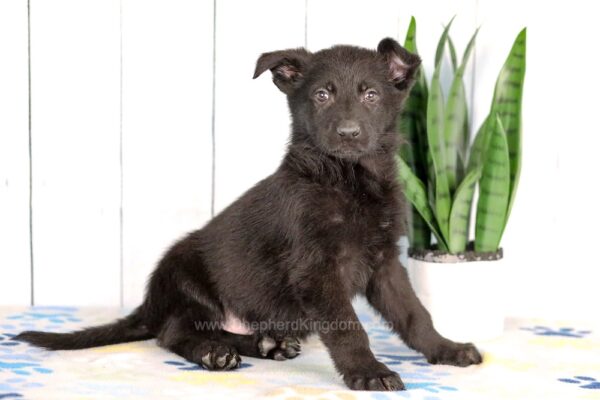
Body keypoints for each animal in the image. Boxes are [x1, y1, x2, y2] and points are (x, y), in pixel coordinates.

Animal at [15, 38, 482, 390]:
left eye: (371, 95)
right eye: (322, 95)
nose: (348, 133)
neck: (348, 179)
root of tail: (150, 304)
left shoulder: (385, 262)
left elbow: (414, 314)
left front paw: (447, 349)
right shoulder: (317, 271)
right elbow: (349, 326)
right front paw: (368, 372)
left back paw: (265, 344)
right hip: (185, 274)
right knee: (176, 332)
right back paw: (214, 354)